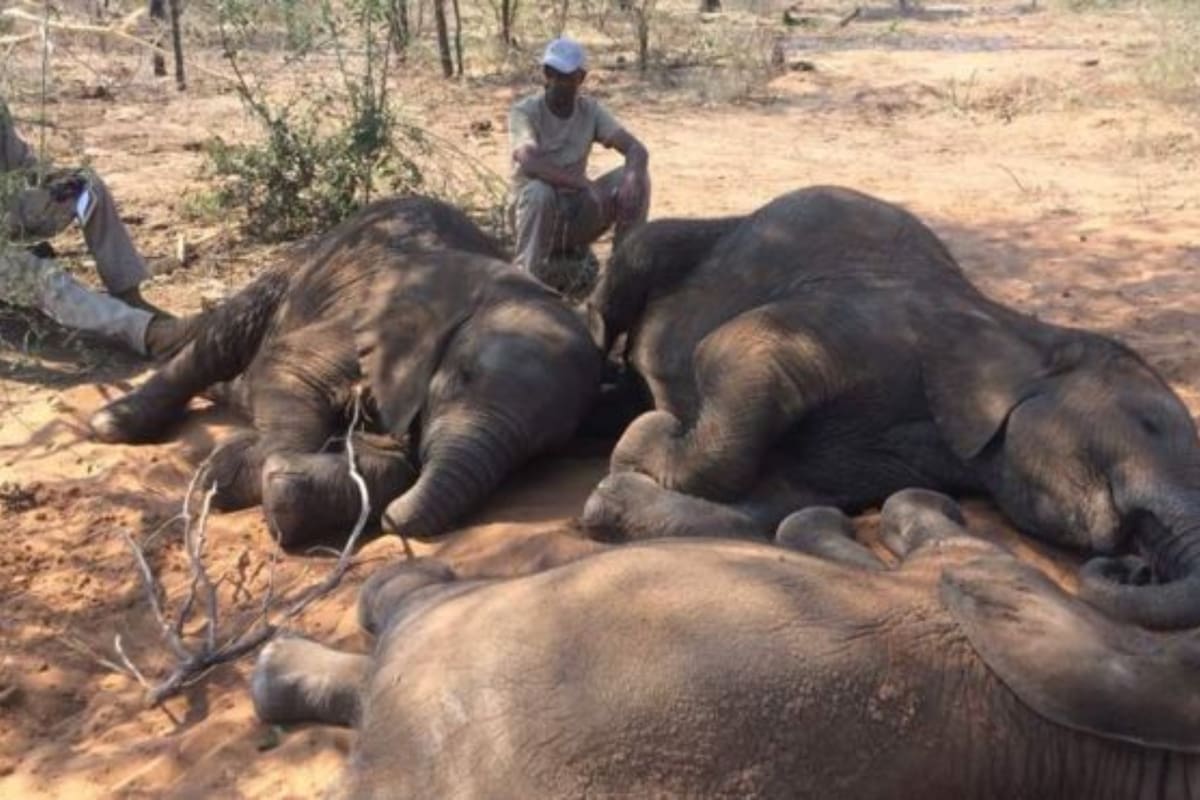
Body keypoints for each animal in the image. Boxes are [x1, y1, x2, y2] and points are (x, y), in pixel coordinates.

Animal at [90, 196, 603, 547]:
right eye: (462, 377)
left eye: (541, 451)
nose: (393, 521)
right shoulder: (360, 322)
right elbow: (290, 368)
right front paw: (232, 473)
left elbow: (394, 462)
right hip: (294, 270)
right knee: (224, 338)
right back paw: (112, 423)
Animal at [579, 185, 1200, 630]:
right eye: (1147, 424)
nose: (1139, 570)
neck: (1017, 331)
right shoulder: (876, 326)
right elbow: (735, 349)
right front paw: (645, 438)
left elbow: (778, 499)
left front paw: (618, 493)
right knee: (632, 267)